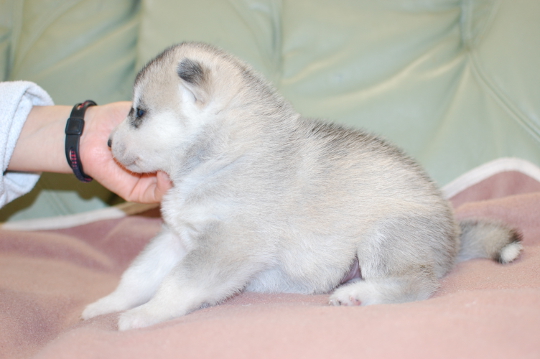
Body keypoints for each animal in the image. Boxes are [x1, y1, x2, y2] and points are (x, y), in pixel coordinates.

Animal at [82, 42, 520, 332]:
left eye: (138, 113)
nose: (106, 142)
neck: (224, 156)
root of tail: (454, 236)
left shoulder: (224, 244)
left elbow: (177, 284)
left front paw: (148, 313)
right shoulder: (176, 238)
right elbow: (139, 276)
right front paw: (109, 303)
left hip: (386, 234)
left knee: (417, 283)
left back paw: (360, 294)